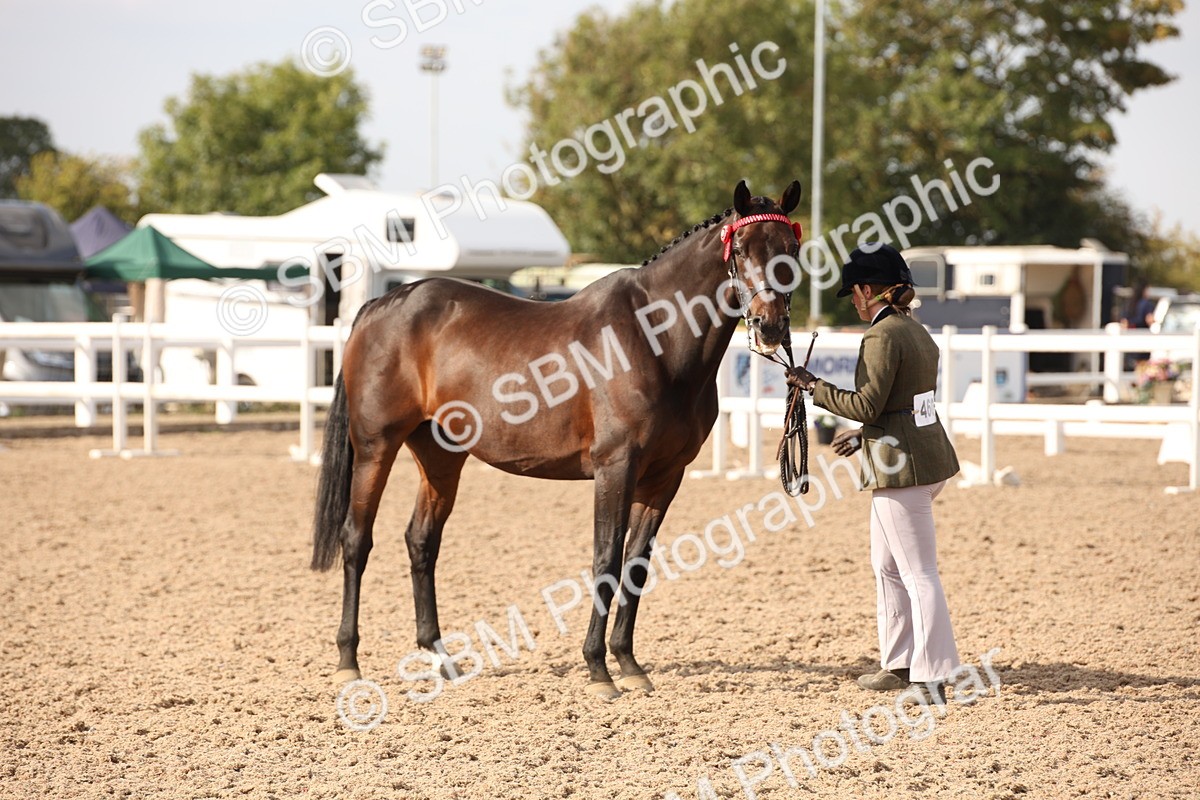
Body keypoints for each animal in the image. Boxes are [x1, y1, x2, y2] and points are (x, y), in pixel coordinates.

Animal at [311, 179, 803, 699]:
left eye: (791, 248)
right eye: (742, 249)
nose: (771, 325)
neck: (655, 338)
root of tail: (379, 306)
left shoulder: (665, 476)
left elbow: (637, 563)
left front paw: (629, 664)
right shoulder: (615, 467)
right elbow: (606, 559)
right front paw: (598, 670)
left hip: (441, 455)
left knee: (422, 540)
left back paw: (442, 659)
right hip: (375, 447)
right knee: (356, 539)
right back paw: (348, 661)